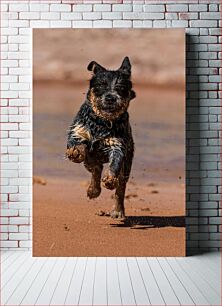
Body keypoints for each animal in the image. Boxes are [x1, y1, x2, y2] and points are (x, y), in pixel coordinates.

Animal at [65, 55, 135, 218]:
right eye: (101, 85)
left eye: (120, 87)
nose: (110, 98)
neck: (102, 122)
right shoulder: (78, 131)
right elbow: (77, 143)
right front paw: (76, 152)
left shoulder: (118, 145)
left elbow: (115, 163)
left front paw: (110, 178)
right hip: (90, 161)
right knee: (95, 169)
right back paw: (93, 190)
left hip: (128, 163)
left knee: (120, 187)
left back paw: (117, 210)